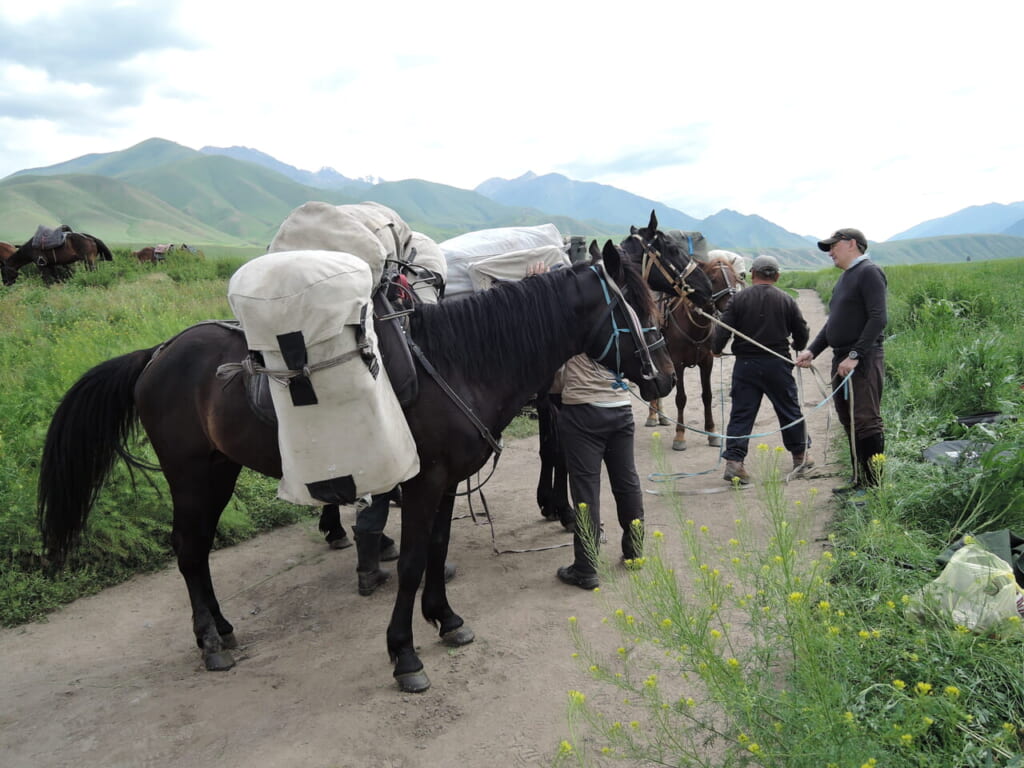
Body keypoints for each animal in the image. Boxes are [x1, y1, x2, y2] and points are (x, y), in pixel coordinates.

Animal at [37, 241, 671, 696]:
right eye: (632, 307)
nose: (664, 378)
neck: (456, 364)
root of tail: (158, 354)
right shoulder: (423, 483)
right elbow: (411, 563)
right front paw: (405, 654)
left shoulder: (443, 485)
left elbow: (436, 552)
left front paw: (445, 620)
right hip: (192, 475)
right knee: (189, 550)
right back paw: (210, 641)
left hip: (218, 471)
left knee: (197, 551)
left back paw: (222, 629)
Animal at [643, 252, 741, 450]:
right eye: (713, 280)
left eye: (735, 278)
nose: (730, 307)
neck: (694, 324)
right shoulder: (677, 363)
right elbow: (681, 398)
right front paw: (680, 436)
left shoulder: (707, 362)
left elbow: (707, 396)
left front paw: (711, 432)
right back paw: (652, 416)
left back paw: (661, 416)